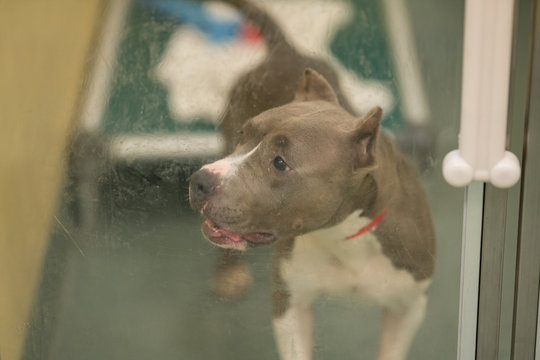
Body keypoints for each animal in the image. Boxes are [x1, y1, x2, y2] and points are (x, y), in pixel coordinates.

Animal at [188, 68, 436, 360]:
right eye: (243, 135)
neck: (342, 235)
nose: (200, 181)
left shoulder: (408, 307)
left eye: (280, 163)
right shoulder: (289, 301)